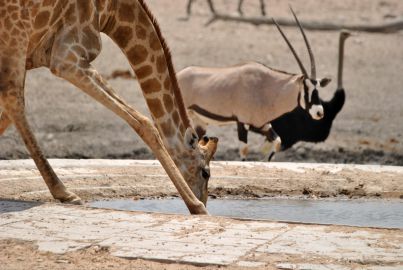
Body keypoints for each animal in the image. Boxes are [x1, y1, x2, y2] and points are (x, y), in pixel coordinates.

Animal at [0, 0, 219, 215]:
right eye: (205, 172)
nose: (204, 201)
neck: (112, 12)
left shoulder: (32, 54)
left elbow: (7, 115)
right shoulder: (66, 59)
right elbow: (145, 124)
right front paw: (196, 207)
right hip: (18, 32)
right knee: (15, 100)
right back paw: (66, 193)